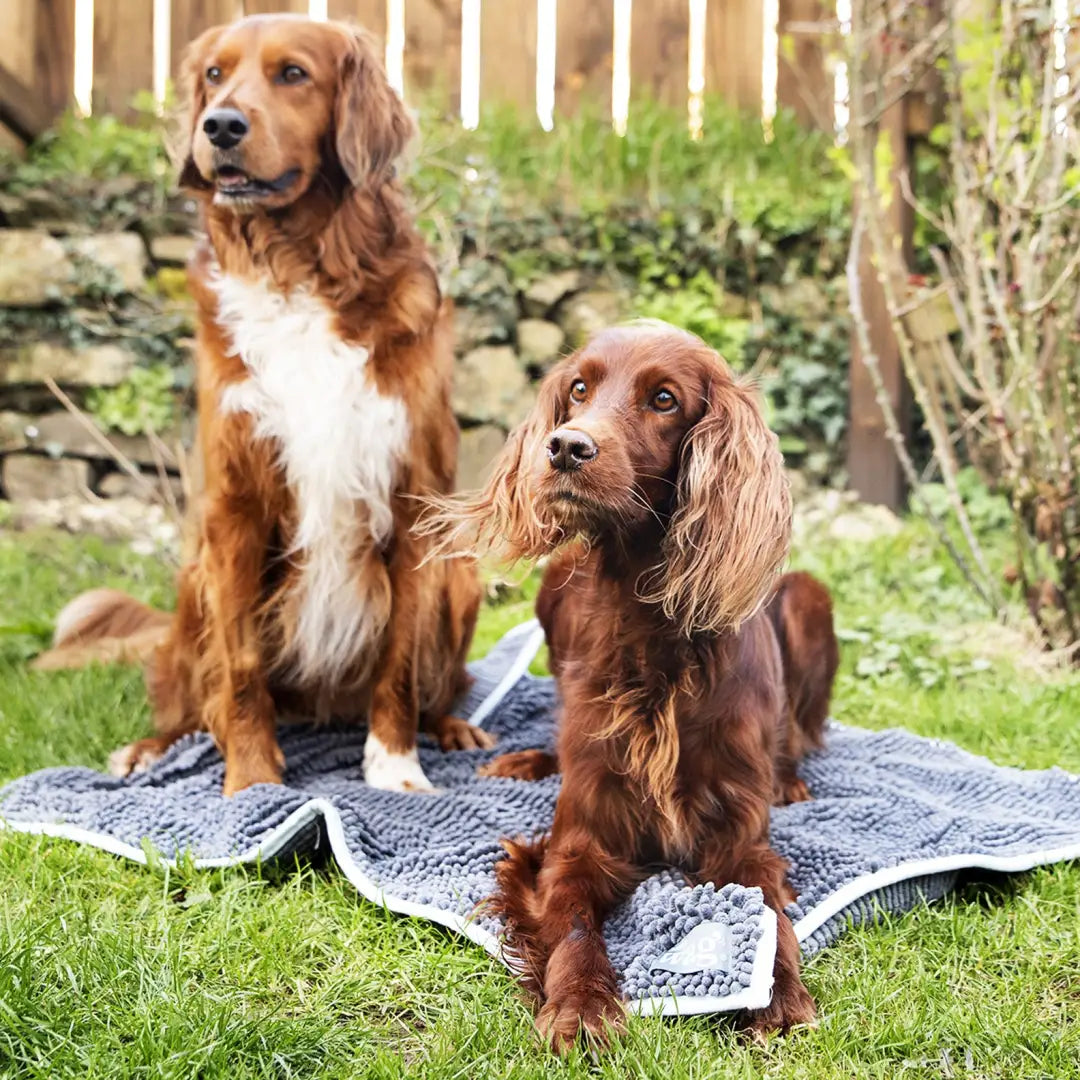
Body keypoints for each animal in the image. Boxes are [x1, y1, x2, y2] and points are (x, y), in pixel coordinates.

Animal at [34, 14, 490, 794]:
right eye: (215, 75)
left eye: (293, 74)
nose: (219, 125)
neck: (299, 269)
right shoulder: (235, 507)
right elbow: (239, 667)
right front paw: (251, 782)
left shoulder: (411, 504)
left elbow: (399, 664)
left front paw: (395, 768)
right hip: (194, 581)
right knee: (193, 695)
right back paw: (154, 747)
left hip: (460, 575)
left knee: (440, 683)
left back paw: (452, 728)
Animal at [425, 321, 838, 1054]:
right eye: (578, 389)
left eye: (665, 398)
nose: (566, 447)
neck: (650, 632)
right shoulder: (580, 840)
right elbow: (572, 921)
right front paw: (582, 1004)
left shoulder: (739, 839)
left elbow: (769, 915)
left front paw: (779, 995)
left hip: (808, 598)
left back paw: (789, 778)